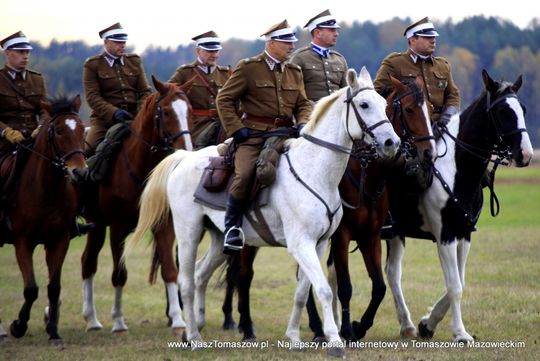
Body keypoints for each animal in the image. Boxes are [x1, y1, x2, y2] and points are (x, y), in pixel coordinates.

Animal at [0, 95, 86, 344]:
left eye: (81, 129)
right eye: (58, 131)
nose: (80, 173)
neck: (46, 190)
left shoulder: (59, 241)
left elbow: (54, 287)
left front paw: (54, 332)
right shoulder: (22, 243)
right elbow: (31, 289)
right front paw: (18, 326)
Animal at [78, 75, 192, 332]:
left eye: (189, 110)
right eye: (167, 112)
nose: (187, 150)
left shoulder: (163, 225)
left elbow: (170, 270)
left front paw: (178, 319)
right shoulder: (117, 228)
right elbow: (119, 273)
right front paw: (119, 321)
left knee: (87, 261)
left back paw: (91, 318)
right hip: (96, 225)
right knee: (88, 263)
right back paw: (91, 318)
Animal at [130, 67, 400, 358]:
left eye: (384, 104)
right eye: (364, 105)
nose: (391, 142)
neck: (314, 171)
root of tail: (184, 157)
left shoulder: (320, 244)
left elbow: (303, 292)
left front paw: (294, 337)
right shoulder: (302, 244)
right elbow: (325, 290)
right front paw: (335, 341)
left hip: (220, 238)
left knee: (201, 273)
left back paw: (198, 326)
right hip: (188, 232)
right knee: (187, 282)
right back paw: (193, 336)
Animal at [384, 69, 532, 340]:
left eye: (523, 109)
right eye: (503, 111)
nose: (526, 155)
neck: (455, 169)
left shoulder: (464, 234)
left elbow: (460, 281)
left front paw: (428, 322)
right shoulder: (446, 235)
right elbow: (454, 286)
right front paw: (460, 332)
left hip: (396, 232)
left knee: (392, 272)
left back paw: (407, 325)